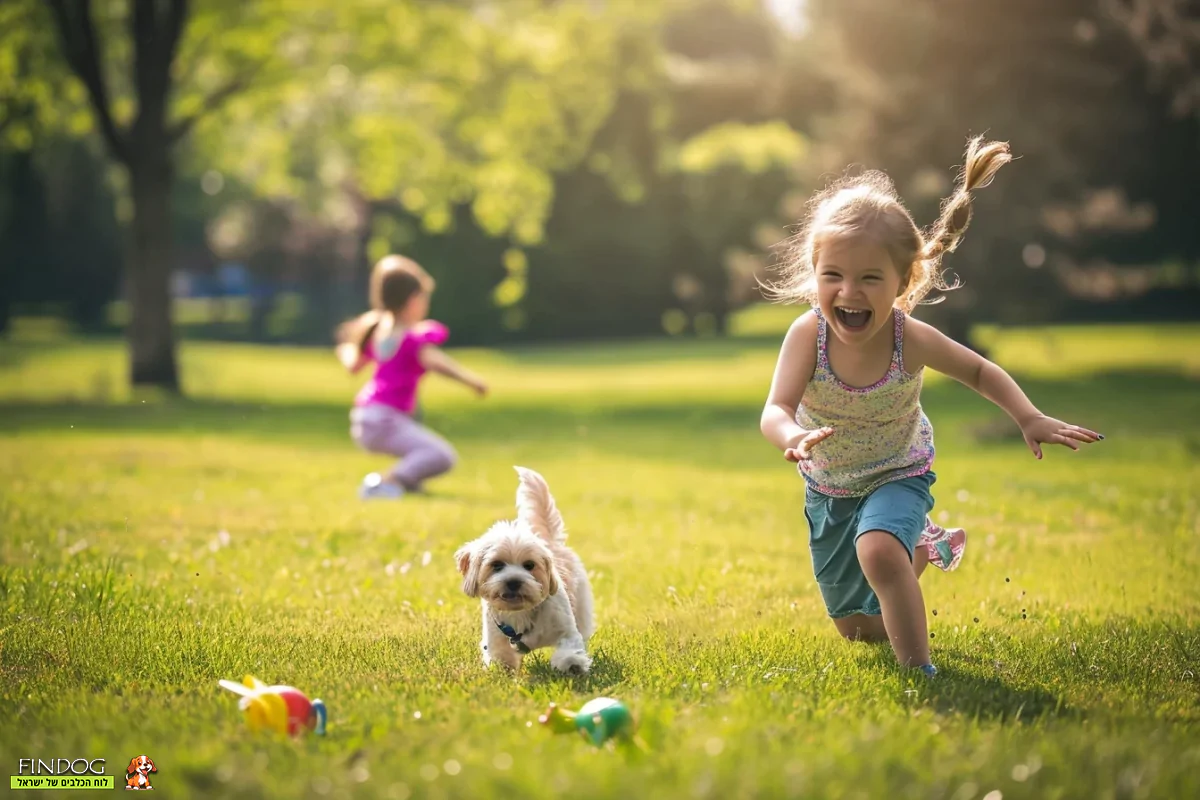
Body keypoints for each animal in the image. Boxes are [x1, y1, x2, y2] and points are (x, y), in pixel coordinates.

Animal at [453, 465, 595, 671]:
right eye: (496, 565)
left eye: (530, 565)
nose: (513, 581)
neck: (521, 614)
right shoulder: (496, 639)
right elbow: (501, 658)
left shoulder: (565, 627)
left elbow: (570, 645)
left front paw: (572, 664)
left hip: (581, 606)